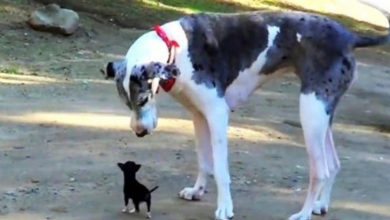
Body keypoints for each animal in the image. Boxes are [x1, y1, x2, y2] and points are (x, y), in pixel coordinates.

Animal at [101, 0, 390, 218]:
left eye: (143, 100)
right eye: (127, 104)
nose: (139, 132)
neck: (176, 47)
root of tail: (350, 35)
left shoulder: (218, 116)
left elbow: (220, 170)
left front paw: (225, 207)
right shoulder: (199, 117)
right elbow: (204, 161)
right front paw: (197, 191)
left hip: (311, 115)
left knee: (321, 171)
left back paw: (304, 213)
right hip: (321, 117)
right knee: (335, 163)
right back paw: (320, 205)